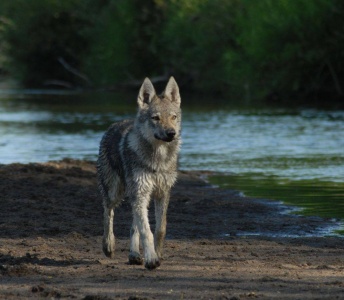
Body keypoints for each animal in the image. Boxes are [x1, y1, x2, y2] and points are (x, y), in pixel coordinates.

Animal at [97, 77, 181, 270]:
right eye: (156, 118)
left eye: (173, 117)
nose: (171, 133)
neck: (158, 159)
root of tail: (115, 123)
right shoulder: (141, 192)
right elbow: (146, 231)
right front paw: (151, 260)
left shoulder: (162, 193)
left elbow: (159, 229)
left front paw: (157, 254)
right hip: (115, 192)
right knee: (107, 212)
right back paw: (108, 246)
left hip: (139, 195)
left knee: (133, 225)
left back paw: (134, 255)